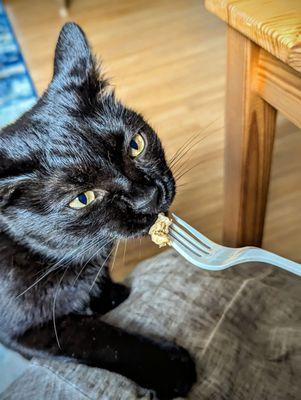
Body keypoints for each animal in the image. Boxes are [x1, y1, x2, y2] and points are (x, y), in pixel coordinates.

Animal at [0, 23, 196, 398]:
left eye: (136, 145)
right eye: (82, 198)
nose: (149, 195)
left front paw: (111, 295)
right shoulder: (26, 331)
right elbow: (100, 339)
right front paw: (172, 367)